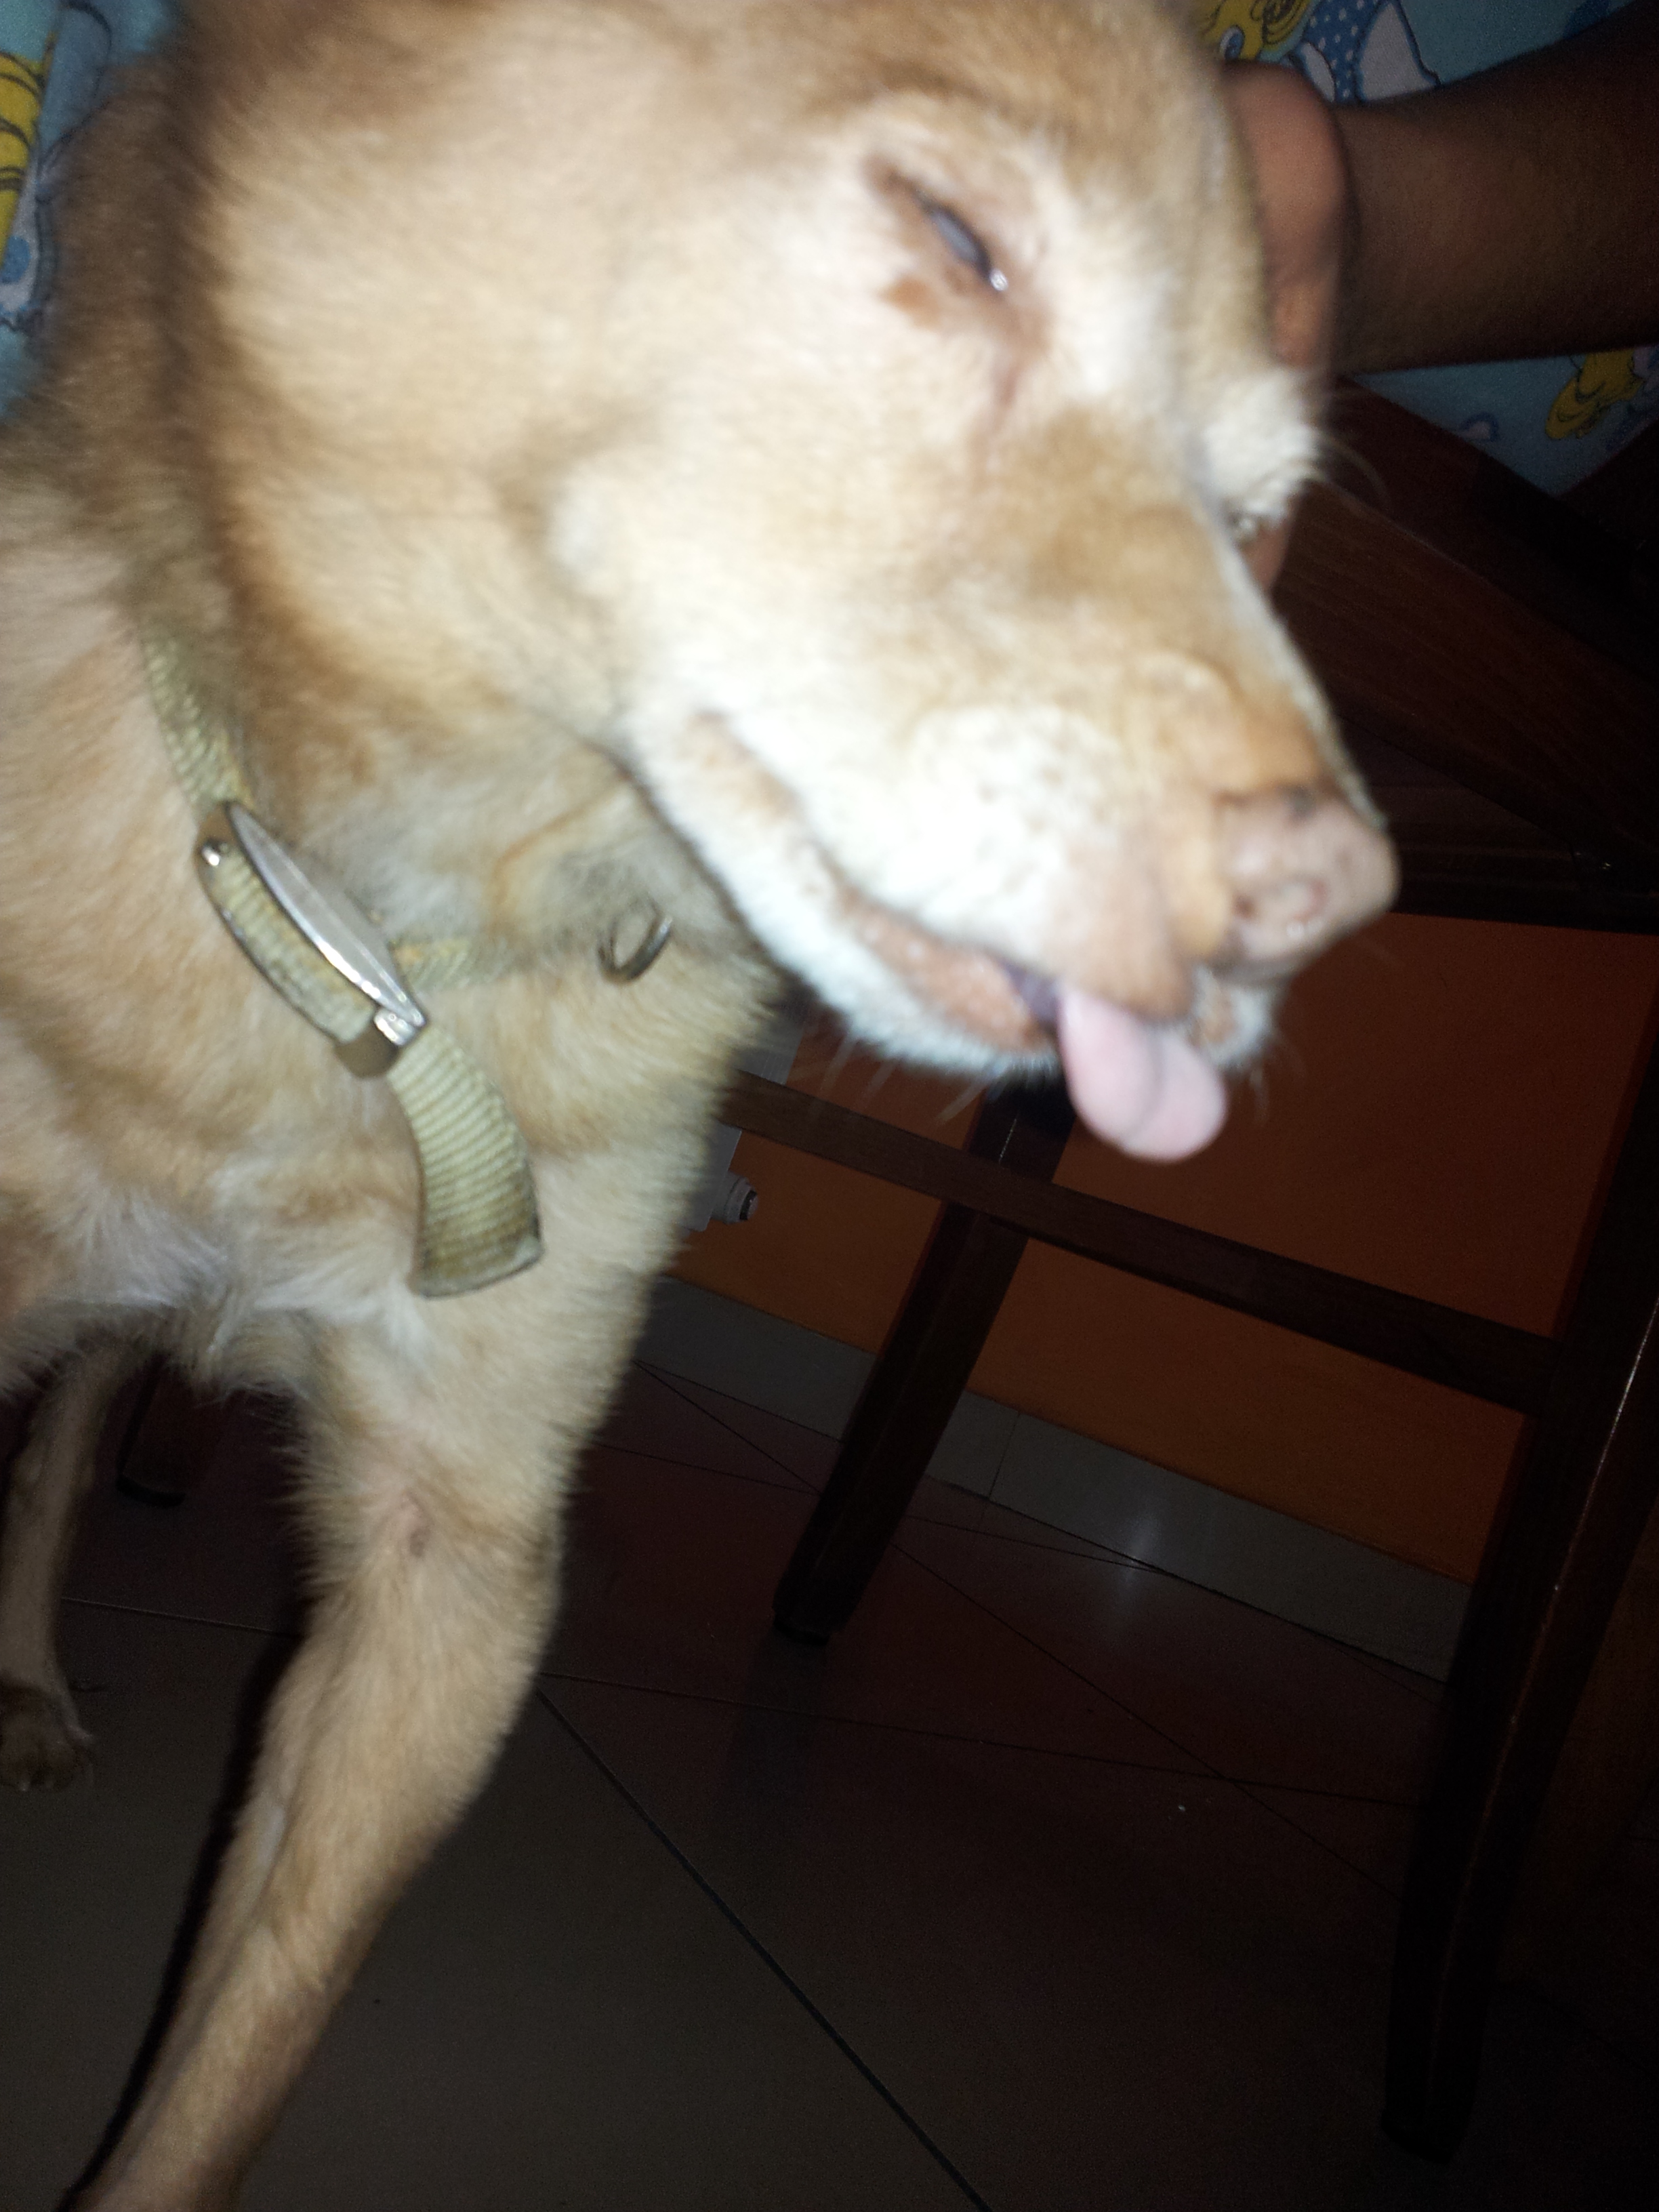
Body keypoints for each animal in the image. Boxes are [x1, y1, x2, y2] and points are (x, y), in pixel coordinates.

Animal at [0, 2, 1395, 2202]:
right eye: (956, 241)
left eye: (1255, 509)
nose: (1333, 900)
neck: (403, 945)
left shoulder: (453, 1576)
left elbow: (217, 2089)